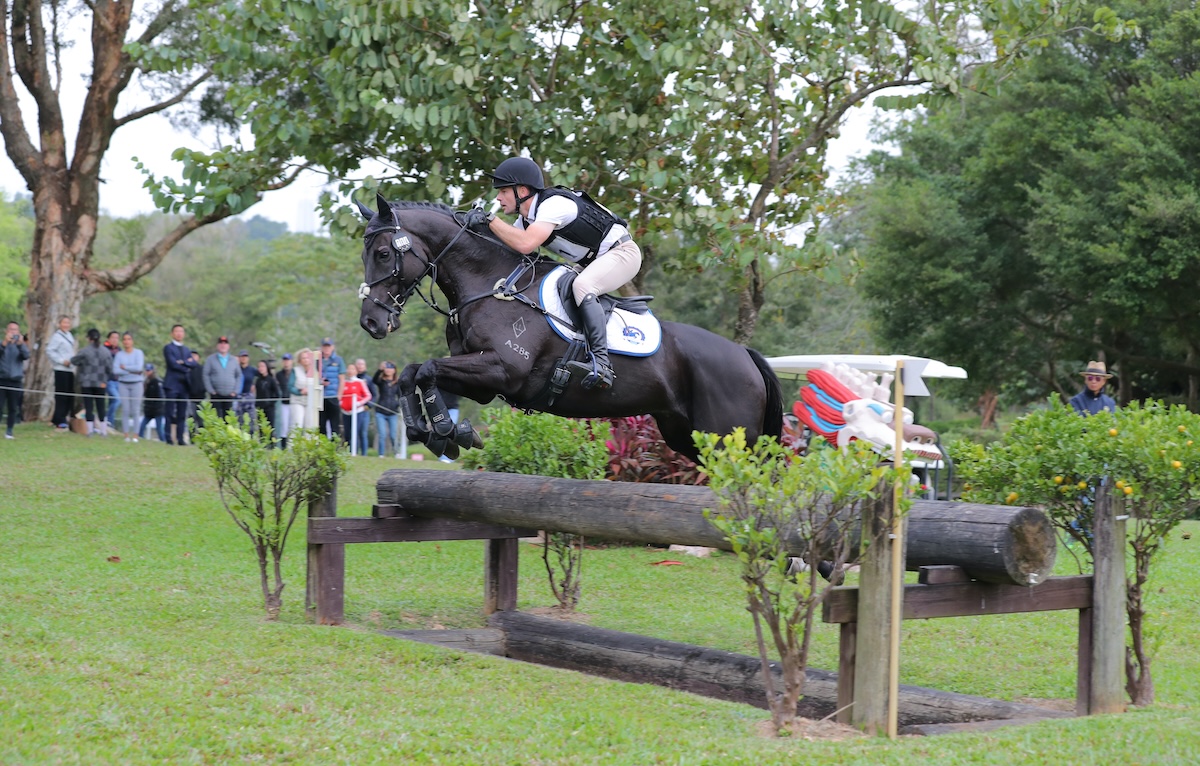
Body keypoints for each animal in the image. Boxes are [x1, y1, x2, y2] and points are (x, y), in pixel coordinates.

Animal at [352, 194, 787, 461]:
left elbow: (425, 369)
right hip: (686, 435)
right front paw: (434, 433)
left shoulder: (502, 369)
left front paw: (445, 430)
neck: (491, 283)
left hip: (730, 440)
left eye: (384, 253)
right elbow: (413, 374)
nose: (371, 322)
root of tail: (745, 355)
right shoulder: (482, 381)